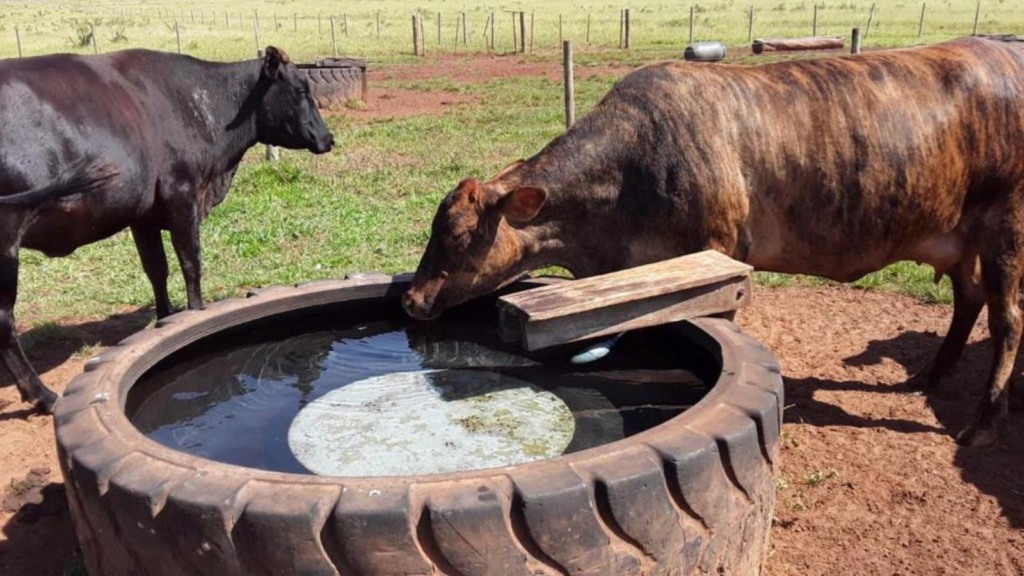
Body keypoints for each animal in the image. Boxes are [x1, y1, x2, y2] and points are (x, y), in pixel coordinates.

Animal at [1, 47, 331, 409]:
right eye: (301, 90)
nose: (328, 138)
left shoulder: (143, 215)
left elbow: (156, 269)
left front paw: (166, 320)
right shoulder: (183, 199)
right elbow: (191, 265)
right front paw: (195, 315)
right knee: (5, 321)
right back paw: (43, 395)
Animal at [403, 35, 1024, 446]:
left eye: (455, 232)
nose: (410, 298)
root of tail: (996, 48)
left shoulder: (718, 258)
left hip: (1005, 225)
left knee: (1006, 318)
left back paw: (983, 422)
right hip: (959, 236)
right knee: (968, 299)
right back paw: (930, 376)